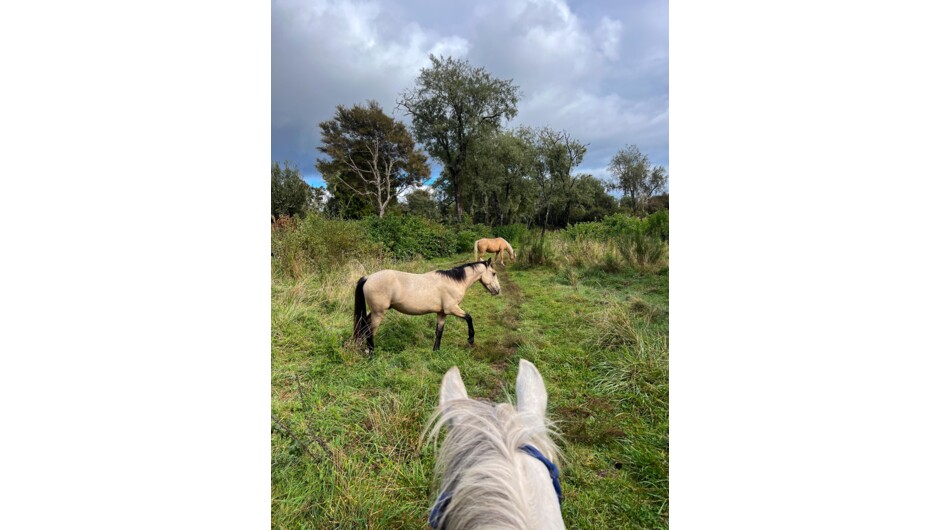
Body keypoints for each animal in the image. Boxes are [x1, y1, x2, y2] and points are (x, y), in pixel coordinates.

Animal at [352, 258, 500, 352]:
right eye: (493, 273)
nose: (498, 291)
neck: (454, 281)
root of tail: (368, 277)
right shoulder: (452, 309)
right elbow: (469, 317)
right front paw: (470, 339)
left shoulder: (442, 313)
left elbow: (439, 331)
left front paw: (436, 351)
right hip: (379, 313)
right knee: (370, 331)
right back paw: (371, 354)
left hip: (374, 312)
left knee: (363, 325)